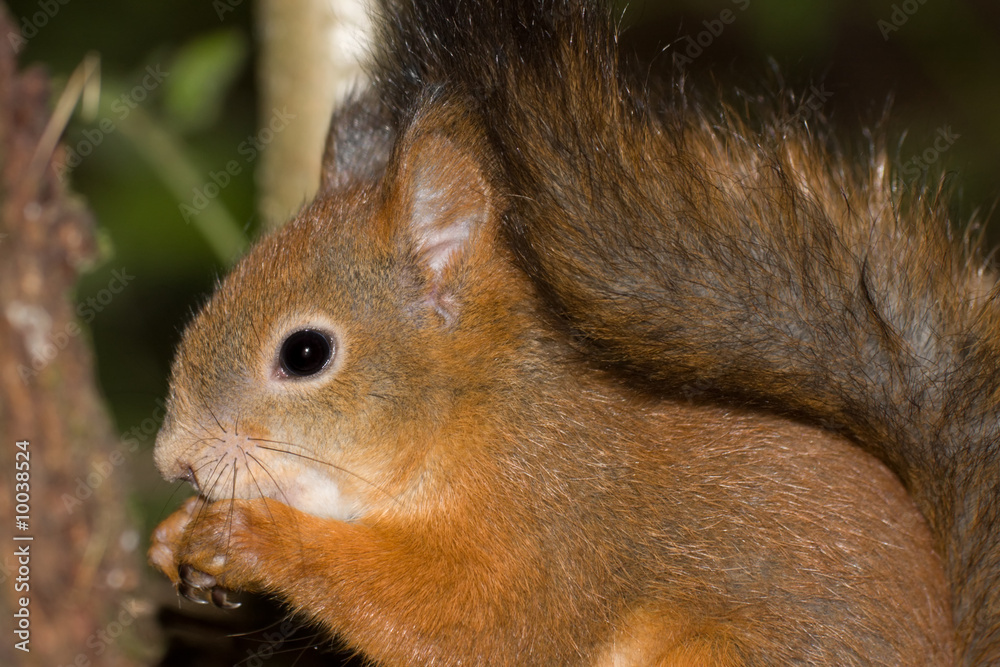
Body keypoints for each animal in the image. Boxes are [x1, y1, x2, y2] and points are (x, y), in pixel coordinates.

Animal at [145, 0, 979, 664]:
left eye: (306, 352)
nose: (172, 460)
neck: (481, 408)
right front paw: (172, 533)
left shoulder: (553, 518)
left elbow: (471, 621)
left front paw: (253, 537)